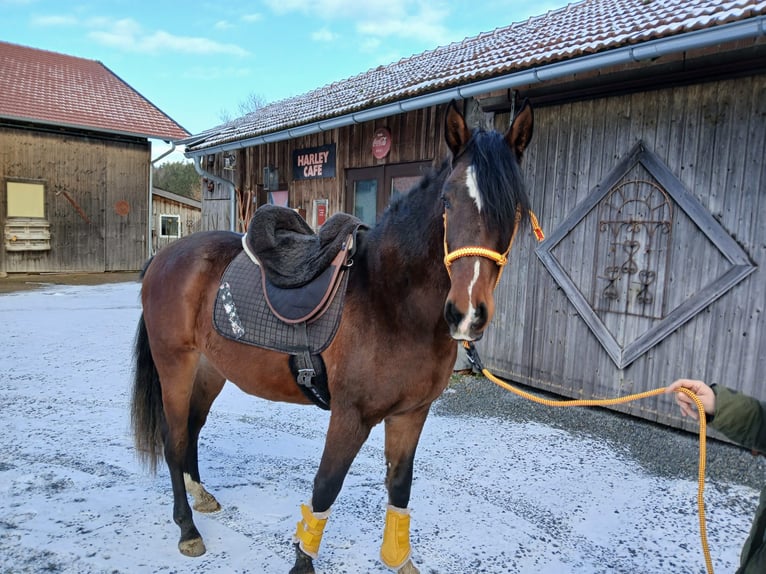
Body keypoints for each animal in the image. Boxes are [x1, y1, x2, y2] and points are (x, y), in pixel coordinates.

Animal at [132, 100, 536, 574]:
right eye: (446, 201)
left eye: (514, 208)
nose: (466, 312)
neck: (391, 299)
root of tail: (164, 258)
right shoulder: (350, 415)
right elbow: (326, 487)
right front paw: (302, 562)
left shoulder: (411, 413)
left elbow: (400, 485)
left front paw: (398, 559)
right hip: (175, 366)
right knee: (173, 438)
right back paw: (188, 529)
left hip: (210, 370)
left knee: (192, 430)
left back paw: (201, 496)